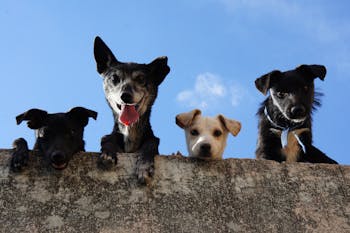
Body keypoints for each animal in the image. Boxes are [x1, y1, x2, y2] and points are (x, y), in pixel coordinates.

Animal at [93, 36, 170, 184]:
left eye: (141, 79)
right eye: (114, 78)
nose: (125, 96)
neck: (130, 131)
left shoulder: (152, 141)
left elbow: (151, 143)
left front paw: (144, 167)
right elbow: (107, 138)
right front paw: (108, 153)